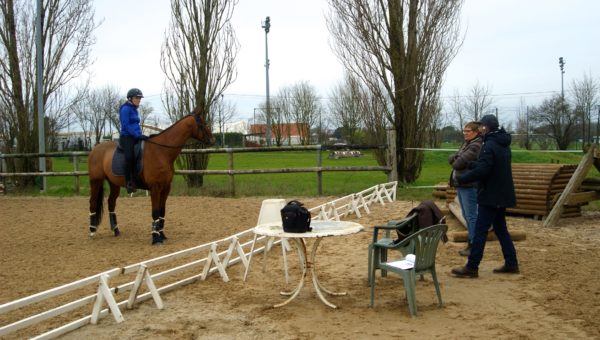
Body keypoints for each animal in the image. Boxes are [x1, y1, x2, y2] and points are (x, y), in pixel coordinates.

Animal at [86, 107, 213, 243]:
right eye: (203, 123)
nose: (213, 140)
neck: (161, 152)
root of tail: (95, 149)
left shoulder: (166, 188)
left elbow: (162, 211)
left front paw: (162, 234)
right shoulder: (155, 188)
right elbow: (155, 212)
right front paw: (155, 238)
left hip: (114, 183)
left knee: (111, 203)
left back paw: (116, 230)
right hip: (96, 181)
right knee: (92, 202)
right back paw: (92, 231)